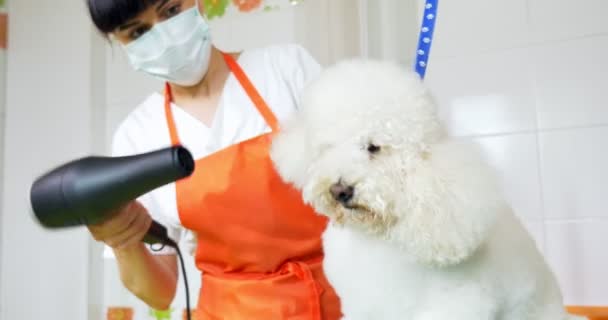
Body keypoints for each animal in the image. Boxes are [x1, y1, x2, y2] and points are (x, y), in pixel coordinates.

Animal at [270, 58, 580, 320]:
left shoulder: (457, 304)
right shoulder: (363, 307)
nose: (339, 190)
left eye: (374, 147)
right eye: (326, 148)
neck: (378, 235)